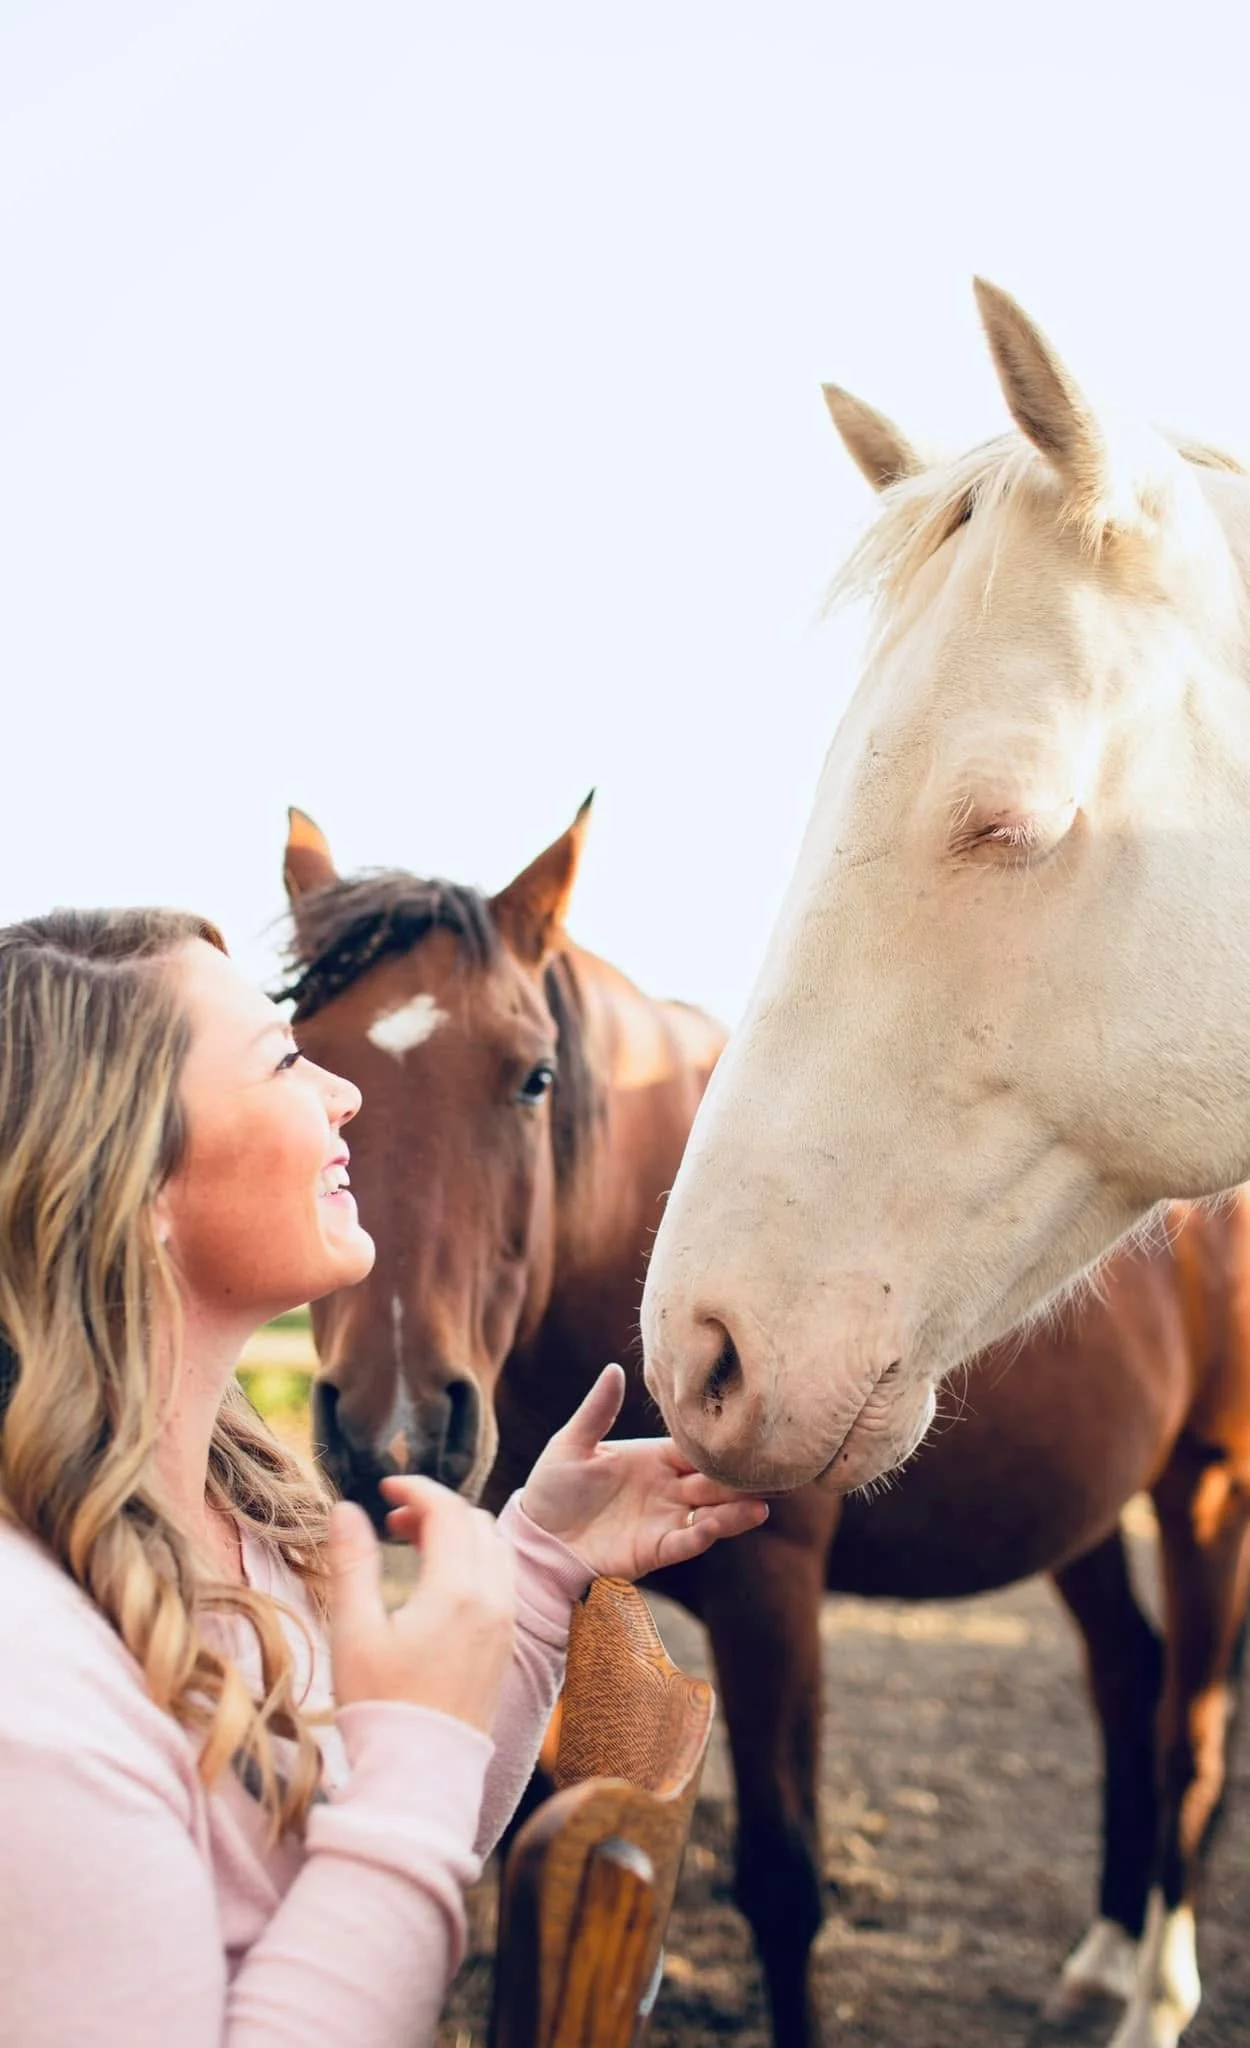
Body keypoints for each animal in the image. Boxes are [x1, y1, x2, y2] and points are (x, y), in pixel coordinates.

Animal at [277, 804, 1250, 2048]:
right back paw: (1098, 1960)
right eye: (305, 1065)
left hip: (1203, 1490)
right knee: (1129, 1681)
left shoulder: (771, 1595)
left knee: (1188, 1733)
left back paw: (1151, 1994)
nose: (392, 1428)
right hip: (1080, 1515)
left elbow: (782, 1881)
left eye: (533, 1077)